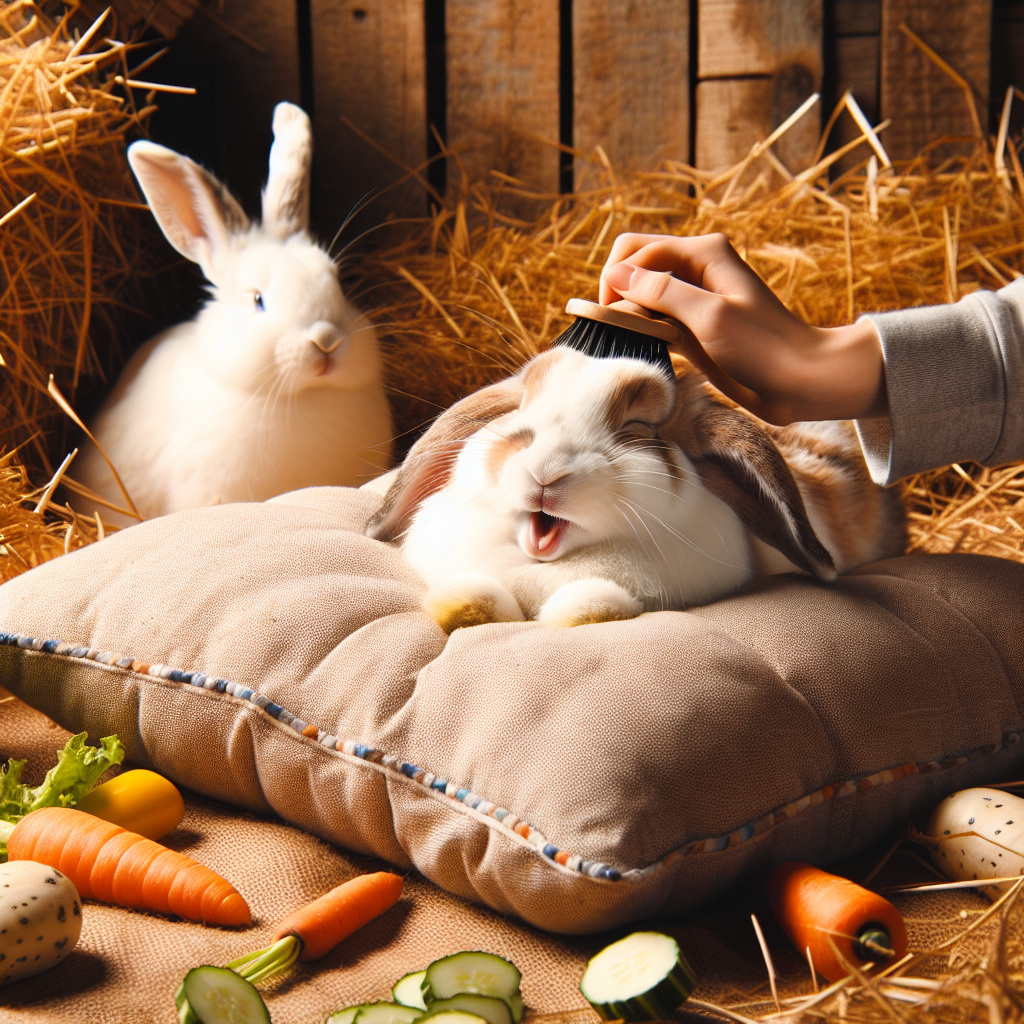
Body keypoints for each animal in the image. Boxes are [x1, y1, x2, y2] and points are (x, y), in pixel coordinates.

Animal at [366, 346, 905, 630]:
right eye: (521, 414)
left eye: (638, 427)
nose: (545, 473)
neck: (541, 565)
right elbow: (483, 597)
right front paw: (460, 604)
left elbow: (595, 605)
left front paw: (574, 614)